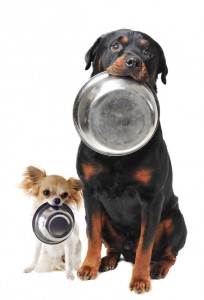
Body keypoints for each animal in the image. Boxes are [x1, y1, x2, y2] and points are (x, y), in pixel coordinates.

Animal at [76, 28, 186, 292]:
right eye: (115, 46)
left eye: (148, 52)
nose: (133, 61)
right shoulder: (90, 192)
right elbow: (92, 234)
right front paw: (88, 266)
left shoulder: (151, 198)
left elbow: (145, 245)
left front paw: (140, 279)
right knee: (110, 245)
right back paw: (106, 261)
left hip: (175, 218)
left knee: (169, 253)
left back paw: (158, 267)